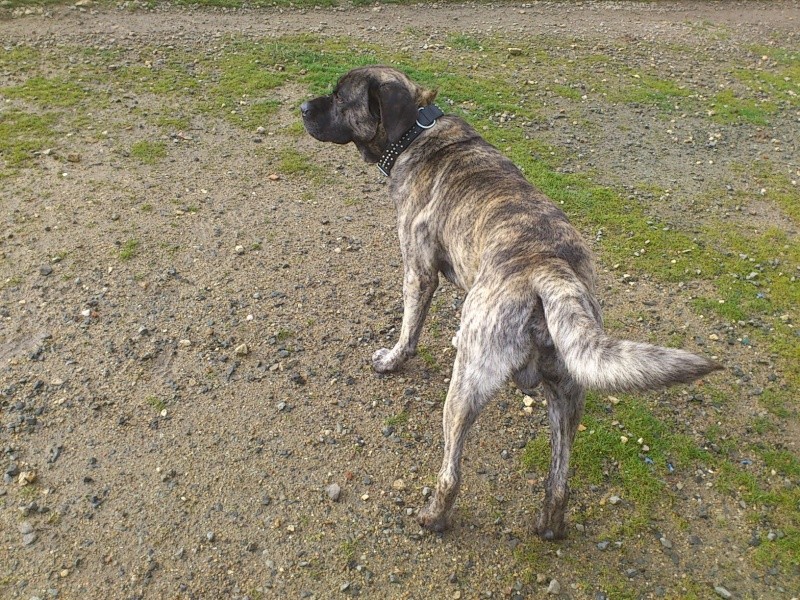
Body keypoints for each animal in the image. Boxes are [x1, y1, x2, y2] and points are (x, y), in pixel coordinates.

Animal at [302, 65, 724, 540]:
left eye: (341, 98)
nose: (303, 107)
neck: (415, 131)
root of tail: (548, 271)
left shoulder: (418, 271)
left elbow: (409, 330)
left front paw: (391, 360)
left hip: (464, 393)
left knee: (452, 473)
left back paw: (433, 517)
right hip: (568, 393)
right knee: (559, 481)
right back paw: (549, 526)